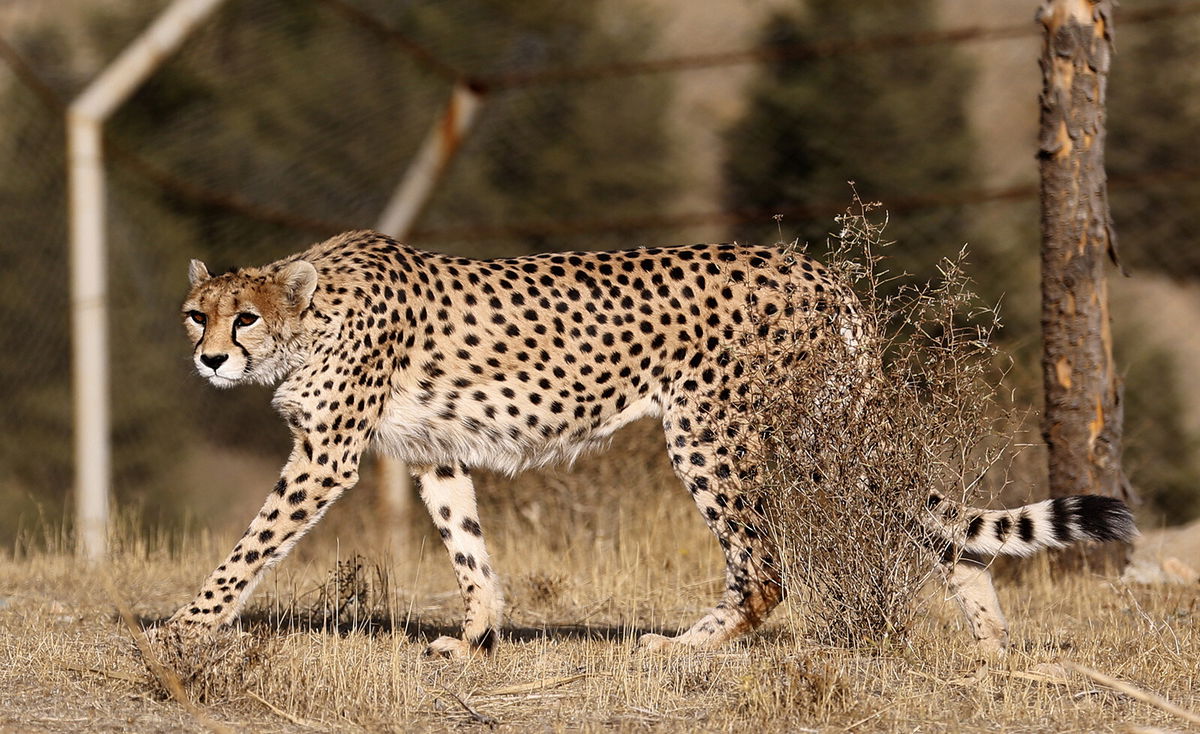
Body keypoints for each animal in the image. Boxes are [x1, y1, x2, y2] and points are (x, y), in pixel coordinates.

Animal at [169, 232, 1132, 657]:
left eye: (243, 317)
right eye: (195, 314)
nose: (209, 358)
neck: (309, 318)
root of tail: (815, 267)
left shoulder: (327, 456)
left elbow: (251, 545)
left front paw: (185, 625)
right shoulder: (435, 449)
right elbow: (468, 548)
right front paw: (475, 635)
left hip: (721, 430)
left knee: (767, 568)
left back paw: (684, 647)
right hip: (823, 432)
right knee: (939, 530)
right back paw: (992, 647)